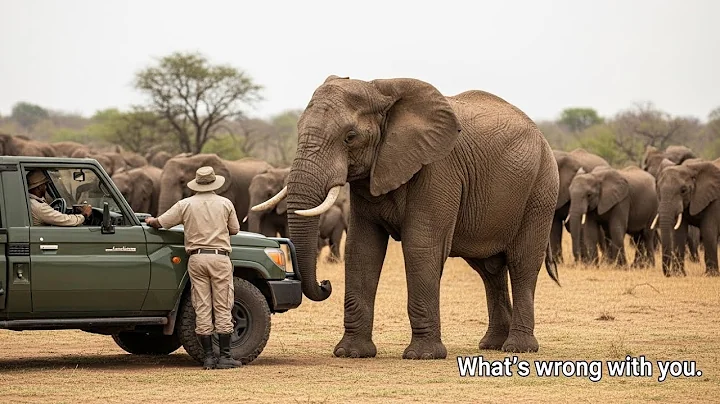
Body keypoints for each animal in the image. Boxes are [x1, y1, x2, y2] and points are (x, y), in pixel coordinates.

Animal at [254, 76, 560, 357]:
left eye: (350, 137)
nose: (325, 284)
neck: (381, 91)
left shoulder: (438, 168)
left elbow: (420, 247)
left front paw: (423, 355)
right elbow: (362, 249)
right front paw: (352, 353)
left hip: (541, 189)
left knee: (521, 264)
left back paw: (518, 348)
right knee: (490, 270)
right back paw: (492, 345)